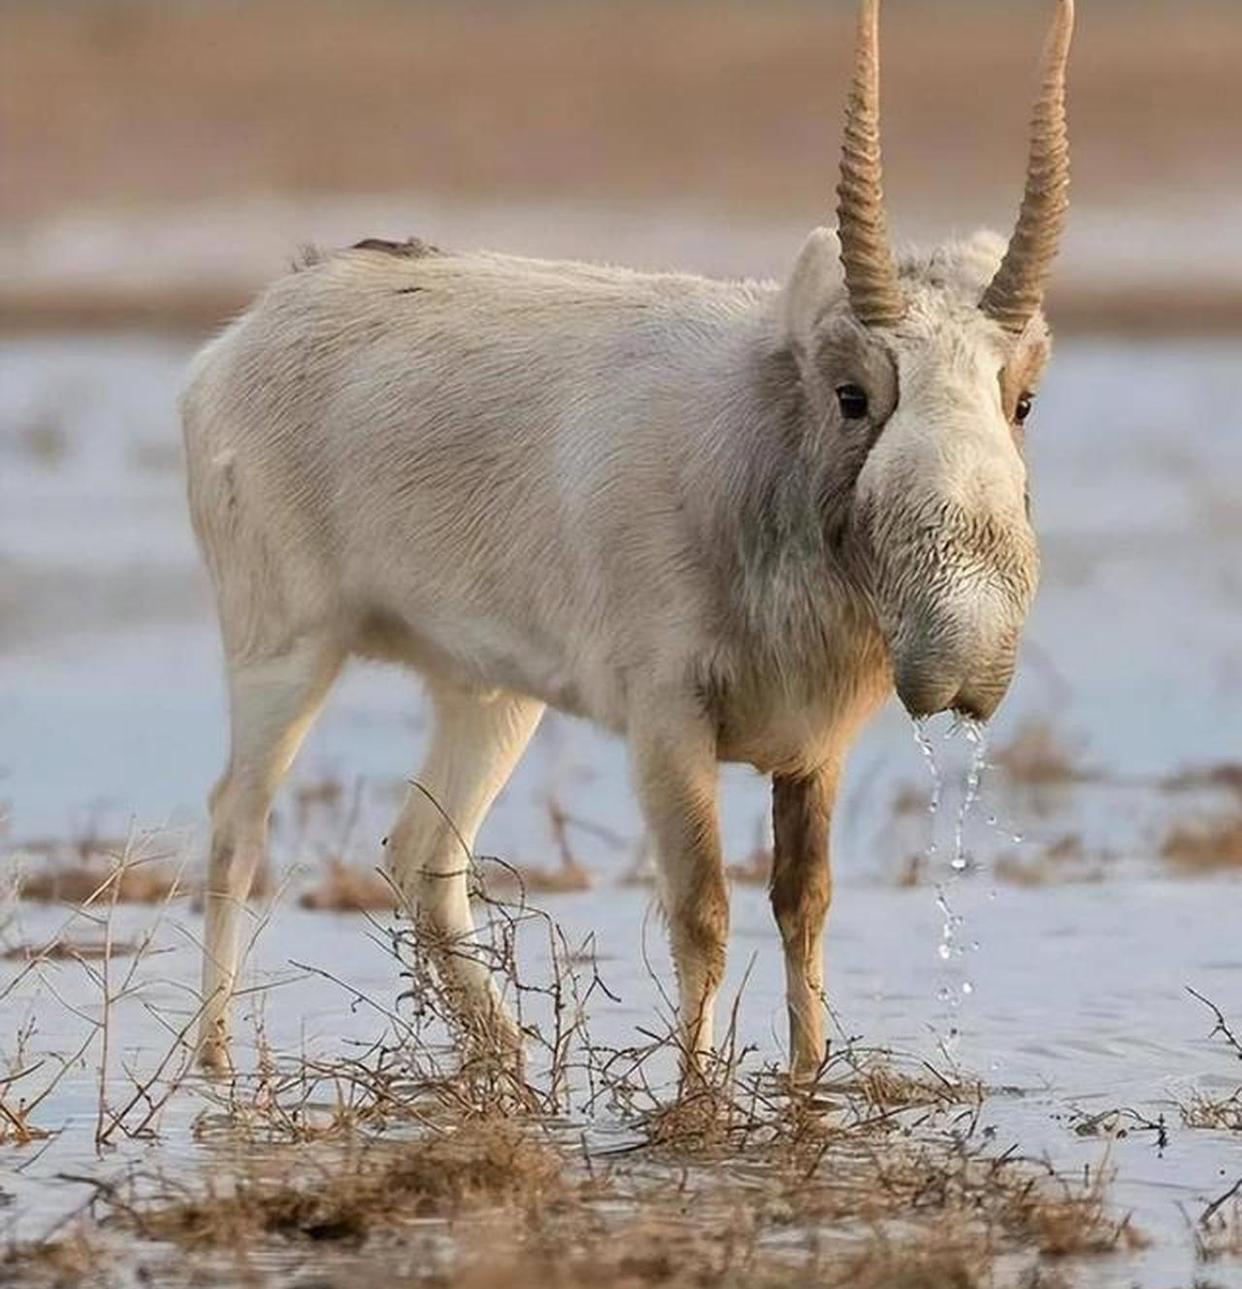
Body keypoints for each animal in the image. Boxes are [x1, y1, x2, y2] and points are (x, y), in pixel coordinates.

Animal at [184, 0, 1073, 1079]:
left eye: (1023, 399)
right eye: (853, 392)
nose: (963, 665)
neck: (761, 433)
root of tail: (239, 340)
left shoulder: (812, 750)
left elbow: (804, 905)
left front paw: (807, 1086)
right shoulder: (667, 727)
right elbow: (703, 913)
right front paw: (695, 1103)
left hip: (491, 694)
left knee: (422, 854)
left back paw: (511, 1067)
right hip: (284, 652)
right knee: (237, 827)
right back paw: (217, 1069)